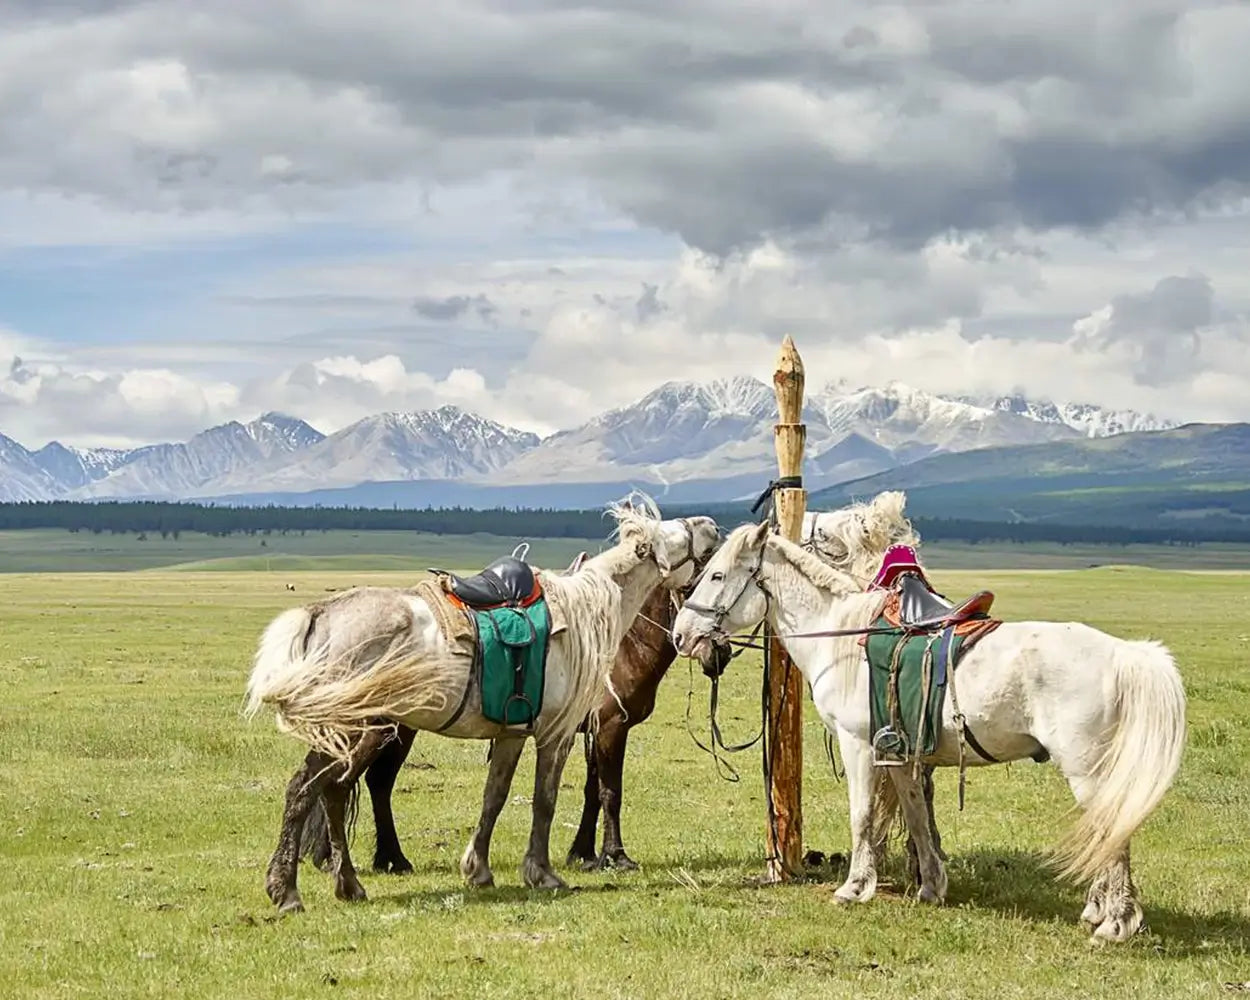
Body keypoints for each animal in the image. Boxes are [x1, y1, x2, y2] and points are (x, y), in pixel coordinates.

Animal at [245, 497, 721, 912]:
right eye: (676, 535)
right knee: (314, 788)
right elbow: (551, 799)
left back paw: (345, 883)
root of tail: (320, 614)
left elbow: (496, 796)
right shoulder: (563, 732)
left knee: (332, 790)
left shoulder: (514, 733)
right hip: (363, 731)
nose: (713, 526)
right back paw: (292, 890)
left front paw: (479, 870)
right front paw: (547, 872)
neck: (591, 614)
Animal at [671, 517, 1186, 943]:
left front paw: (854, 888)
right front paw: (932, 887)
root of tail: (1123, 655)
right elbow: (917, 816)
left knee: (1113, 832)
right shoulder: (898, 751)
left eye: (717, 576)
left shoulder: (859, 745)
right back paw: (1098, 911)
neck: (840, 637)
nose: (680, 635)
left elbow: (862, 815)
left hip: (1085, 768)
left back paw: (1115, 924)